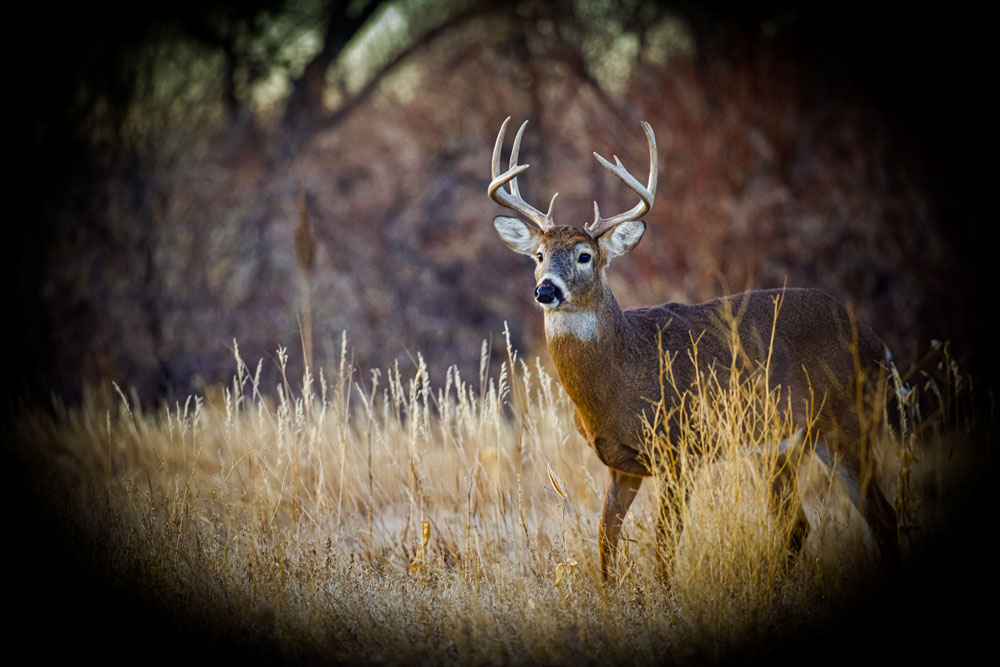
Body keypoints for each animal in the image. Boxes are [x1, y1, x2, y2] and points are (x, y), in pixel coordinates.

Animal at [487, 117, 899, 581]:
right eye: (538, 254)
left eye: (584, 255)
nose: (546, 290)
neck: (621, 376)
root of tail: (878, 345)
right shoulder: (620, 465)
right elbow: (606, 543)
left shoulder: (679, 450)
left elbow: (665, 545)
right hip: (782, 445)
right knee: (803, 525)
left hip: (851, 420)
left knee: (880, 514)